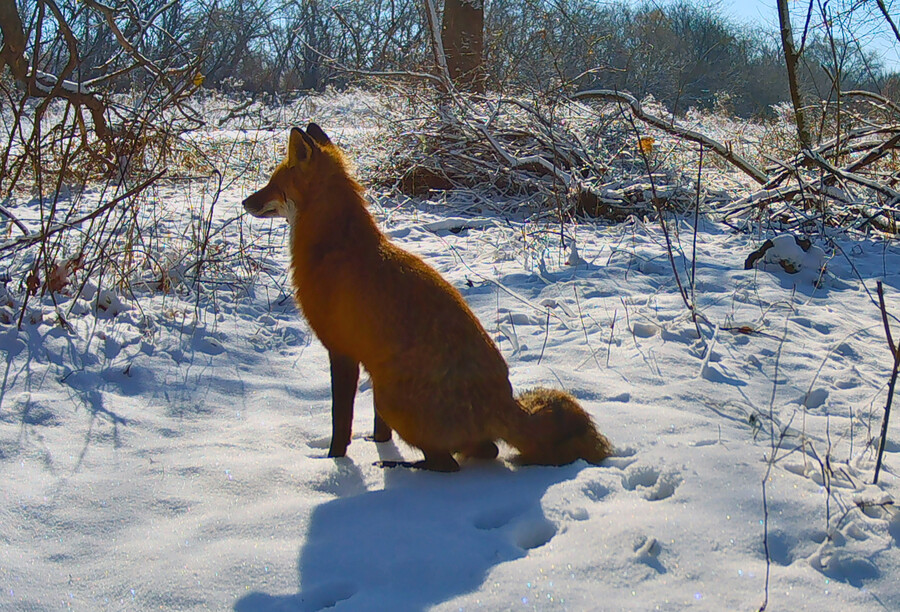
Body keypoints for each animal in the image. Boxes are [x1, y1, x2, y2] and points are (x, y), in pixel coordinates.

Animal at [242, 123, 612, 471]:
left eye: (273, 182)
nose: (245, 202)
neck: (335, 247)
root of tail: (504, 402)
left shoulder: (342, 351)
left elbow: (339, 424)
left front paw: (336, 464)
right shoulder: (368, 361)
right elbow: (379, 429)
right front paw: (375, 444)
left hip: (390, 396)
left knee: (449, 464)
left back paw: (401, 466)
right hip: (385, 387)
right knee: (487, 451)